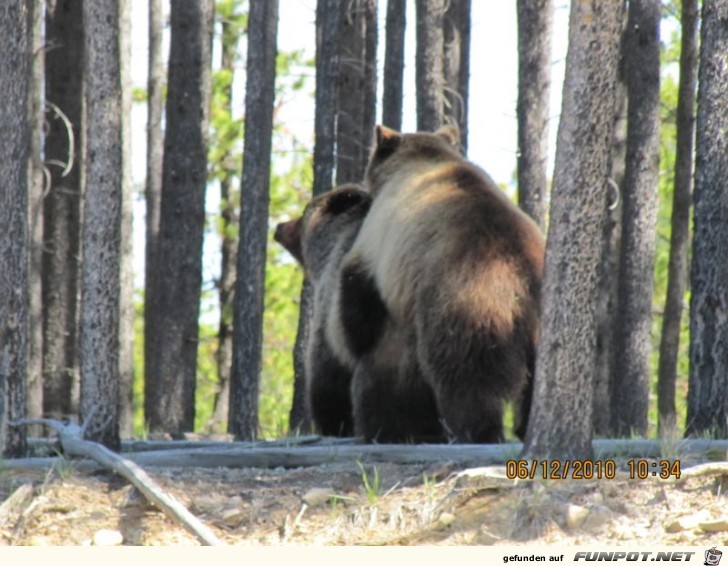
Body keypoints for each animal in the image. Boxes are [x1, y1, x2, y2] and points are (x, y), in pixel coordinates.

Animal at [338, 126, 544, 446]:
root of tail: (518, 269)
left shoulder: (376, 239)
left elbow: (357, 291)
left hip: (464, 303)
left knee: (465, 374)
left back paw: (473, 431)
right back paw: (523, 427)